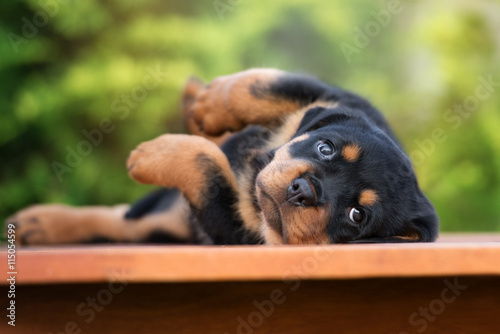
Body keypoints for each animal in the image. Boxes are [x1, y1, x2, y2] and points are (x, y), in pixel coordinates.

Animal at [6, 68, 438, 245]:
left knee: (122, 223)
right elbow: (268, 84)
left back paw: (37, 226)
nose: (303, 190)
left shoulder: (229, 228)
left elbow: (208, 166)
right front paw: (212, 103)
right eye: (325, 147)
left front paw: (154, 154)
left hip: (168, 224)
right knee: (119, 216)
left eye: (357, 215)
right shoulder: (338, 98)